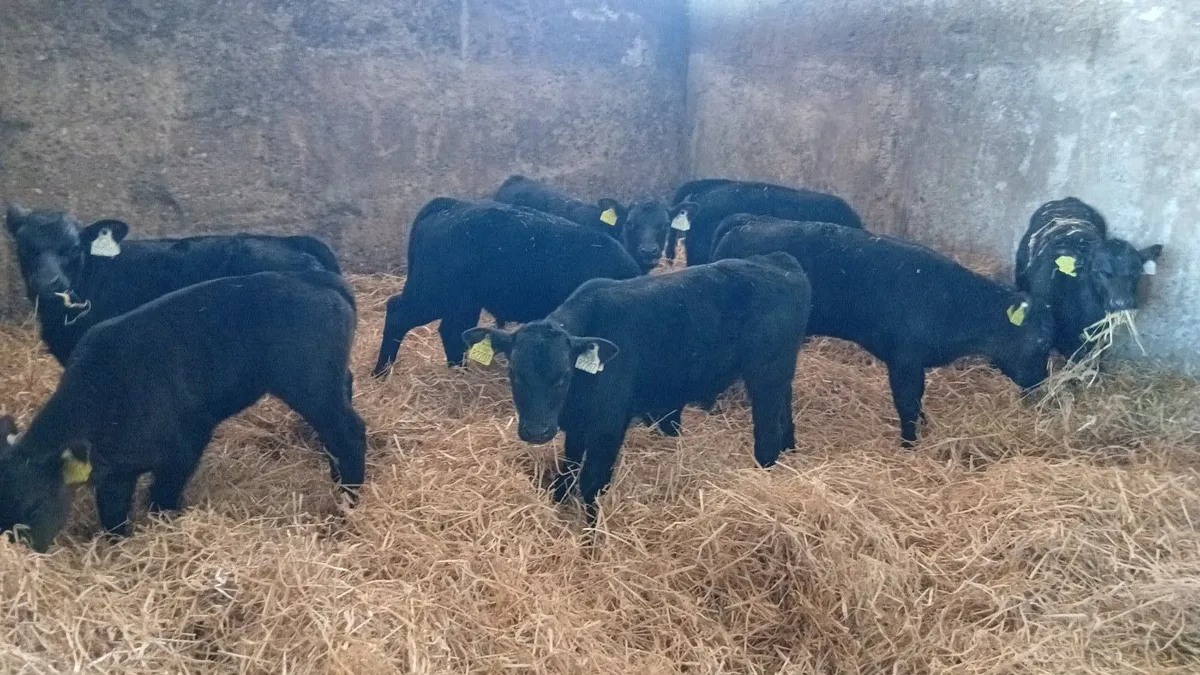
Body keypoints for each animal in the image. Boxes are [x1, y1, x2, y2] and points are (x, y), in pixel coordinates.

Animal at [0, 271, 366, 552]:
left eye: (34, 505)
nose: (16, 553)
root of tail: (316, 277)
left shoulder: (186, 445)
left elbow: (162, 497)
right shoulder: (116, 473)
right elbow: (114, 514)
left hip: (311, 384)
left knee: (348, 431)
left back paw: (349, 496)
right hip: (328, 381)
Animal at [372, 198, 642, 377]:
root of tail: (450, 207)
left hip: (463, 303)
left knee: (452, 331)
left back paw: (460, 374)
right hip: (432, 294)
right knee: (398, 314)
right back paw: (381, 371)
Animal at [462, 252, 812, 523]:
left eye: (562, 376)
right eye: (514, 373)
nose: (537, 432)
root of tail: (780, 261)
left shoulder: (608, 424)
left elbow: (592, 483)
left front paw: (591, 542)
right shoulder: (577, 426)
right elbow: (566, 473)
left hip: (767, 375)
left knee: (767, 436)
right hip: (781, 375)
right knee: (785, 417)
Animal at [712, 215, 1055, 447]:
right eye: (1041, 342)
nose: (1040, 382)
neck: (952, 303)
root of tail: (746, 221)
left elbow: (918, 400)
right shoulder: (904, 360)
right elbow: (907, 402)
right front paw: (910, 444)